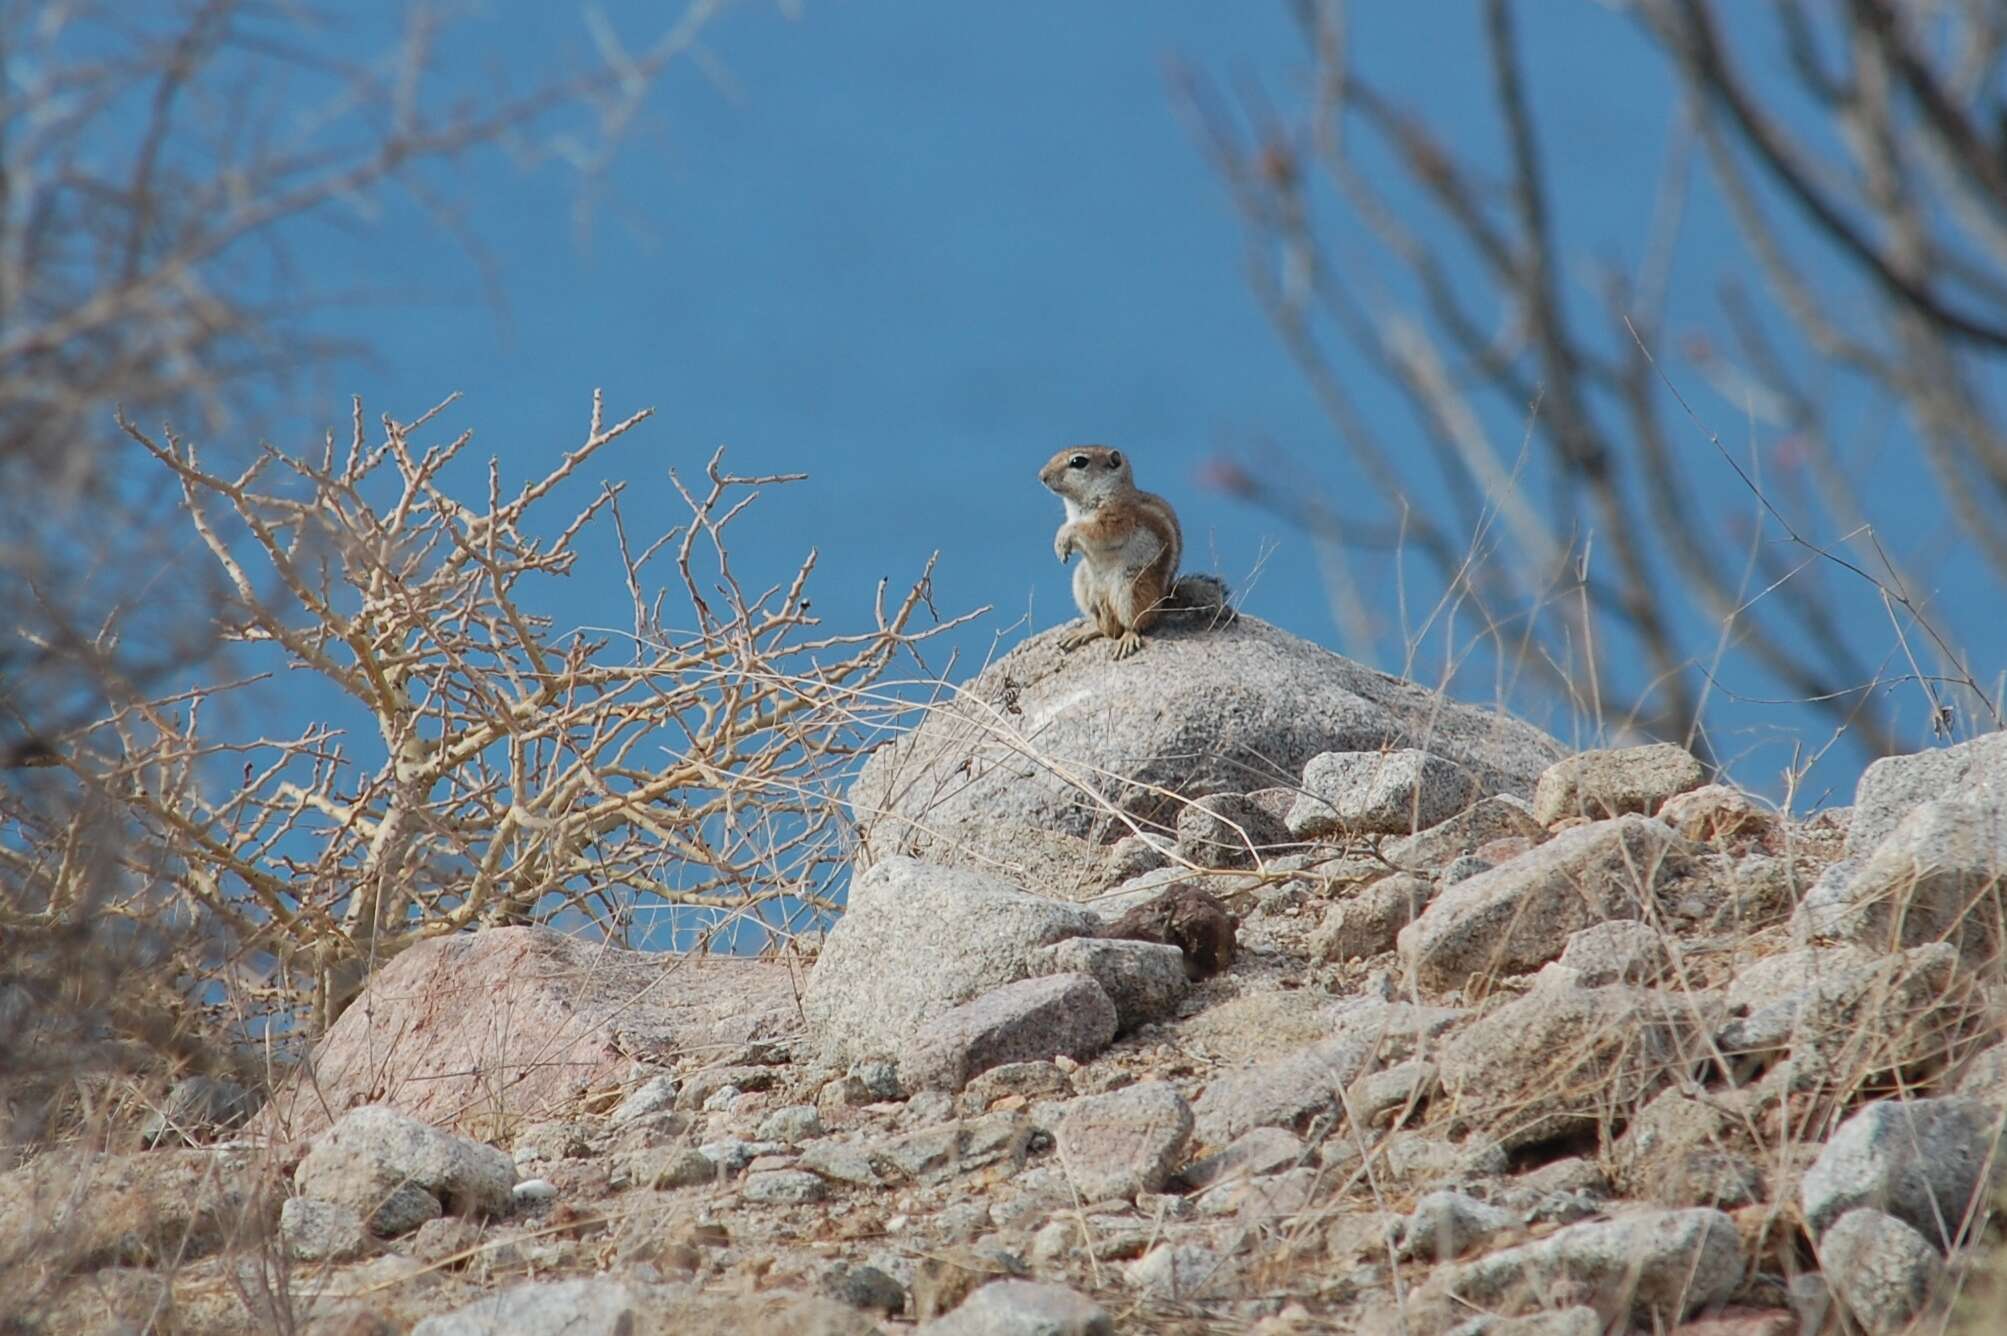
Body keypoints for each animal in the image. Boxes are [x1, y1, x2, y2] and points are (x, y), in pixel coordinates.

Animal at [1043, 445, 1228, 657]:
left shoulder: (1117, 518)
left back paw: (1128, 639)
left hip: (1130, 586)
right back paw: (1084, 632)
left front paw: (1065, 538)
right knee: (1108, 630)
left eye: (1078, 462)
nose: (1042, 476)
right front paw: (1059, 546)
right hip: (1082, 581)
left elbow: (1094, 531)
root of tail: (1162, 603)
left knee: (1134, 625)